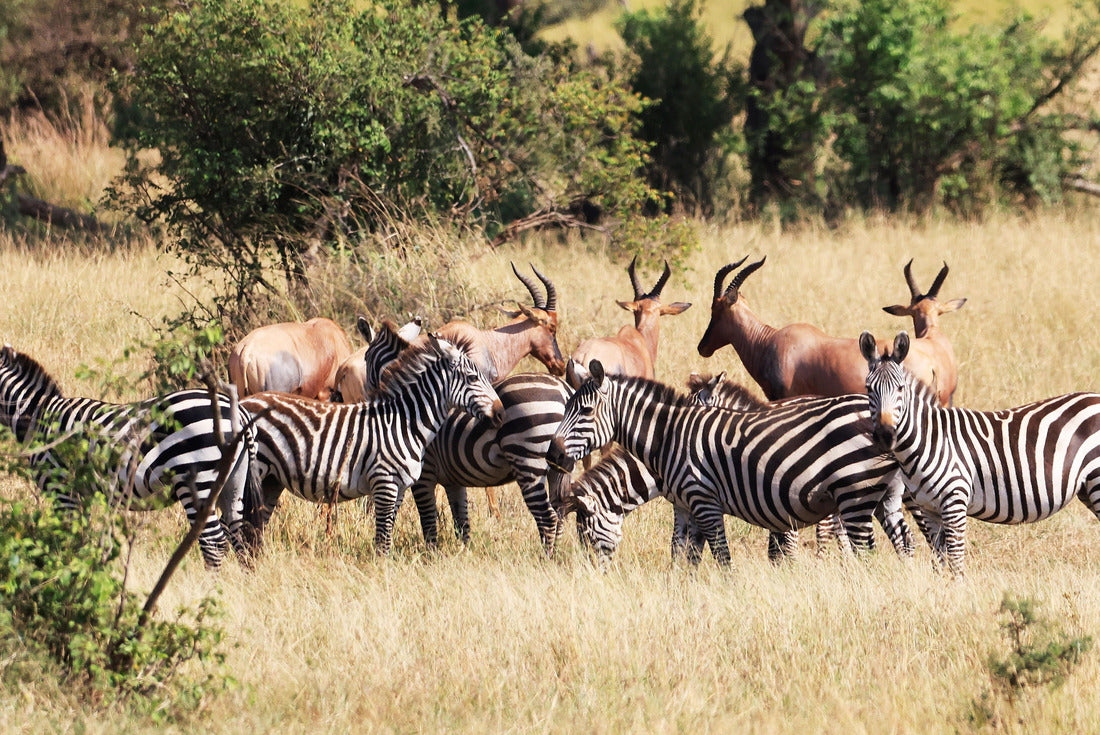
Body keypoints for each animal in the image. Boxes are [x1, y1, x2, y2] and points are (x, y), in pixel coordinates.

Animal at [0, 345, 260, 570]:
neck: (37, 417)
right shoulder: (80, 493)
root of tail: (239, 412)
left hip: (196, 480)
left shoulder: (62, 489)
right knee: (238, 536)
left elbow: (69, 537)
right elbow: (83, 538)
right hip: (233, 481)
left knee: (214, 543)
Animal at [240, 334, 503, 556]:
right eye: (472, 378)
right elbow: (383, 540)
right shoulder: (384, 482)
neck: (403, 423)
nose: (501, 413)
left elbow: (386, 533)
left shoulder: (399, 487)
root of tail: (245, 401)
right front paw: (382, 572)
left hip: (271, 479)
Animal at [546, 360, 908, 565]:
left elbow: (723, 556)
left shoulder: (706, 502)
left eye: (585, 411)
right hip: (881, 496)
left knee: (866, 548)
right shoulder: (685, 506)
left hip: (854, 494)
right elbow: (683, 554)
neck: (668, 438)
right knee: (904, 540)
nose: (552, 454)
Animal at [861, 330, 1100, 576]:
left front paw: (958, 586)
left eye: (900, 388)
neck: (928, 441)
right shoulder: (929, 509)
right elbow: (939, 561)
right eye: (868, 388)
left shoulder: (954, 502)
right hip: (1087, 488)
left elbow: (956, 562)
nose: (885, 435)